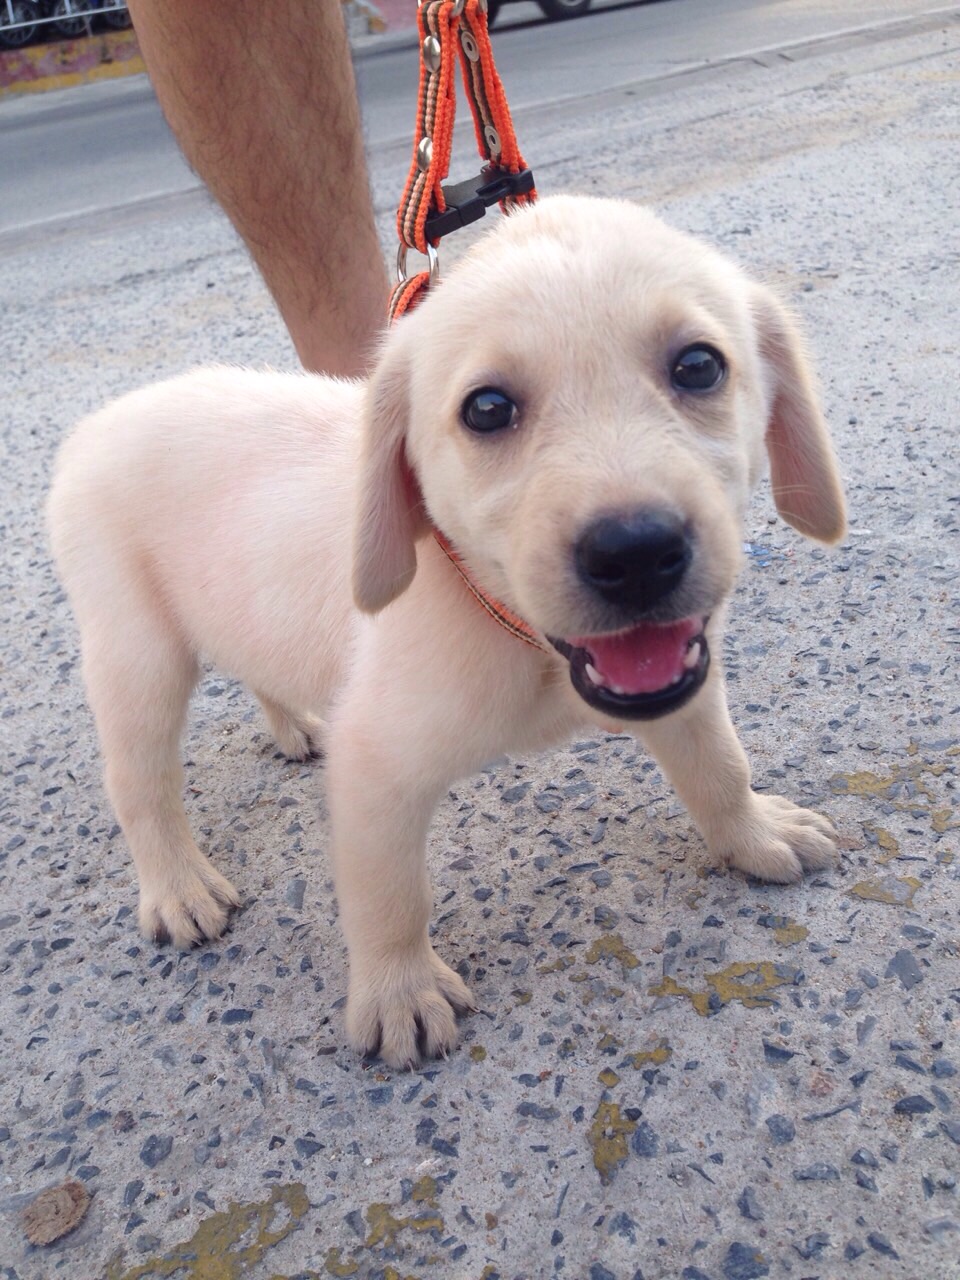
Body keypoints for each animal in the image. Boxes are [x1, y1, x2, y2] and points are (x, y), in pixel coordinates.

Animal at [47, 195, 846, 1069]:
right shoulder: (376, 770)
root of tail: (94, 425)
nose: (635, 554)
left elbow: (720, 765)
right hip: (137, 655)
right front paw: (399, 992)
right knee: (139, 784)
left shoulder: (683, 680)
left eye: (699, 366)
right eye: (487, 410)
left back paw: (295, 725)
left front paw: (753, 832)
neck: (517, 635)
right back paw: (178, 886)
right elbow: (390, 896)